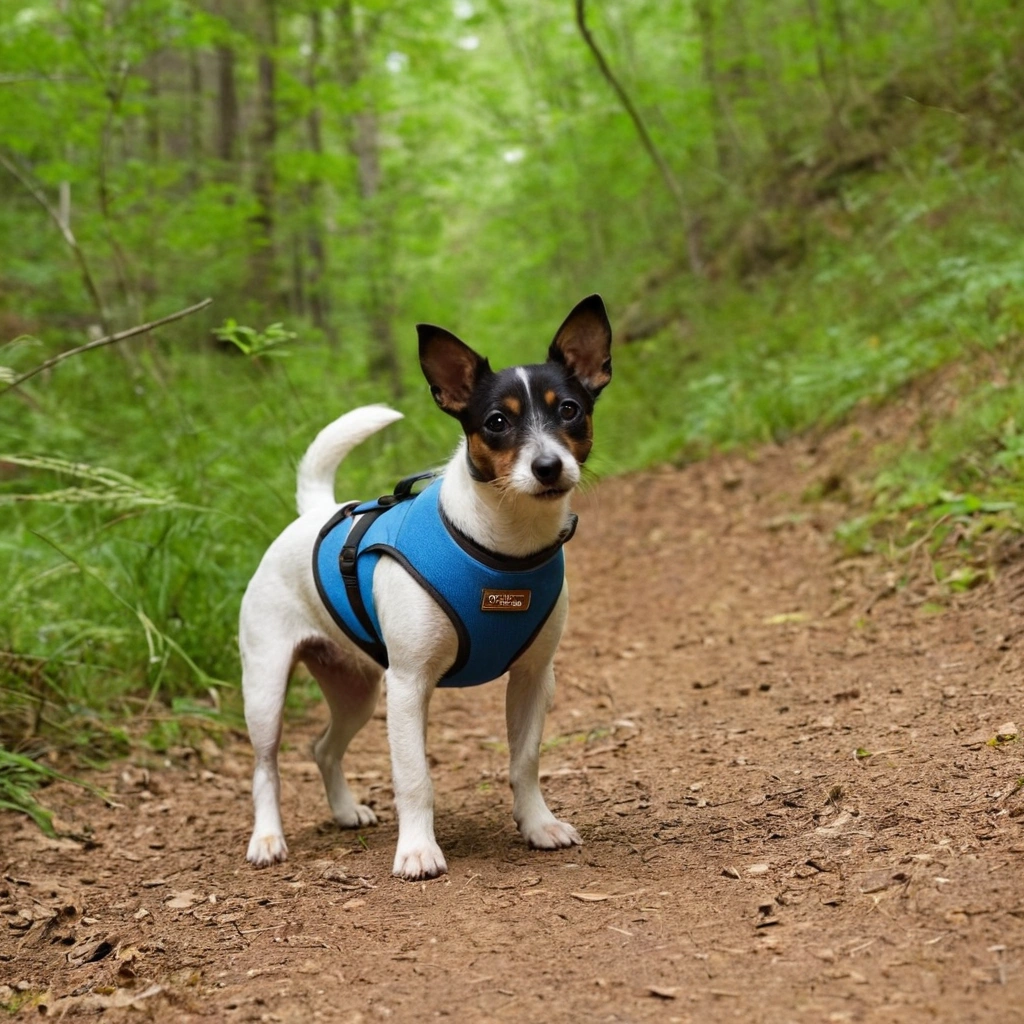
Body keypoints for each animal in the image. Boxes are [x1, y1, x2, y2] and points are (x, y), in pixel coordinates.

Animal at [239, 292, 610, 876]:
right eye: (497, 421)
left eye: (569, 409)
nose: (548, 466)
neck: (503, 547)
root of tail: (314, 512)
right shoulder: (409, 684)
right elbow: (415, 778)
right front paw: (417, 849)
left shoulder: (533, 677)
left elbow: (524, 761)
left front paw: (538, 824)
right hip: (266, 687)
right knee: (265, 766)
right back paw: (268, 838)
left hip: (356, 689)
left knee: (323, 748)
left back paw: (345, 811)